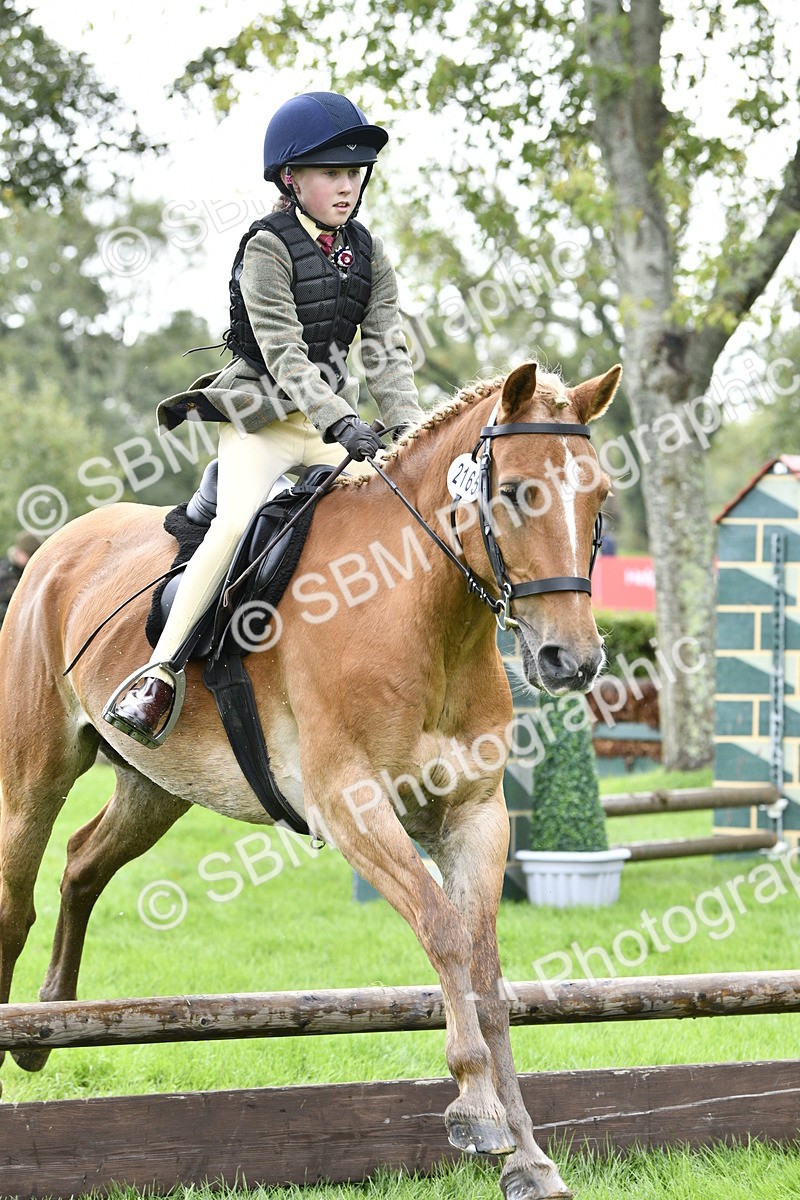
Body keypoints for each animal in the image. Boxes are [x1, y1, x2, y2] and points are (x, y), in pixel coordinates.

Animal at [0, 360, 619, 1200]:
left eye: (601, 495)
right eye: (520, 490)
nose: (572, 661)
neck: (424, 614)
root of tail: (57, 548)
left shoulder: (473, 815)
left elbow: (485, 969)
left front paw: (526, 1155)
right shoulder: (351, 804)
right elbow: (444, 933)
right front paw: (475, 1108)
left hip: (157, 786)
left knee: (82, 863)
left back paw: (48, 1025)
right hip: (34, 770)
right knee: (17, 896)